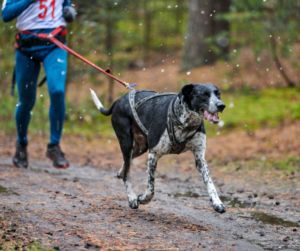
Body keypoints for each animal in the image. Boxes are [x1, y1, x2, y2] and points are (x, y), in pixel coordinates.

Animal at [90, 83, 226, 213]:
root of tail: (119, 100)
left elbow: (210, 183)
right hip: (126, 141)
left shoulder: (200, 159)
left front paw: (217, 203)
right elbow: (151, 188)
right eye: (203, 94)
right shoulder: (153, 155)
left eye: (218, 94)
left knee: (127, 161)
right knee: (127, 173)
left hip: (141, 147)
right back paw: (132, 197)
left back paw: (120, 172)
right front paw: (143, 199)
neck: (185, 123)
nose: (221, 105)